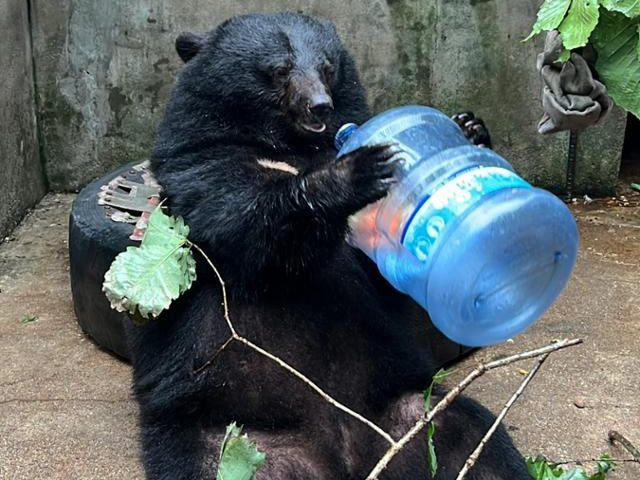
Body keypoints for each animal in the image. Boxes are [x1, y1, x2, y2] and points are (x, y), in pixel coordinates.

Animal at [124, 11, 524, 480]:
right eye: (279, 70)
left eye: (327, 68)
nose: (320, 106)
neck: (289, 144)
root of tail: (346, 459)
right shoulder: (200, 158)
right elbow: (247, 226)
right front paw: (359, 169)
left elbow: (387, 280)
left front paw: (469, 129)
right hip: (228, 440)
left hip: (414, 413)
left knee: (480, 443)